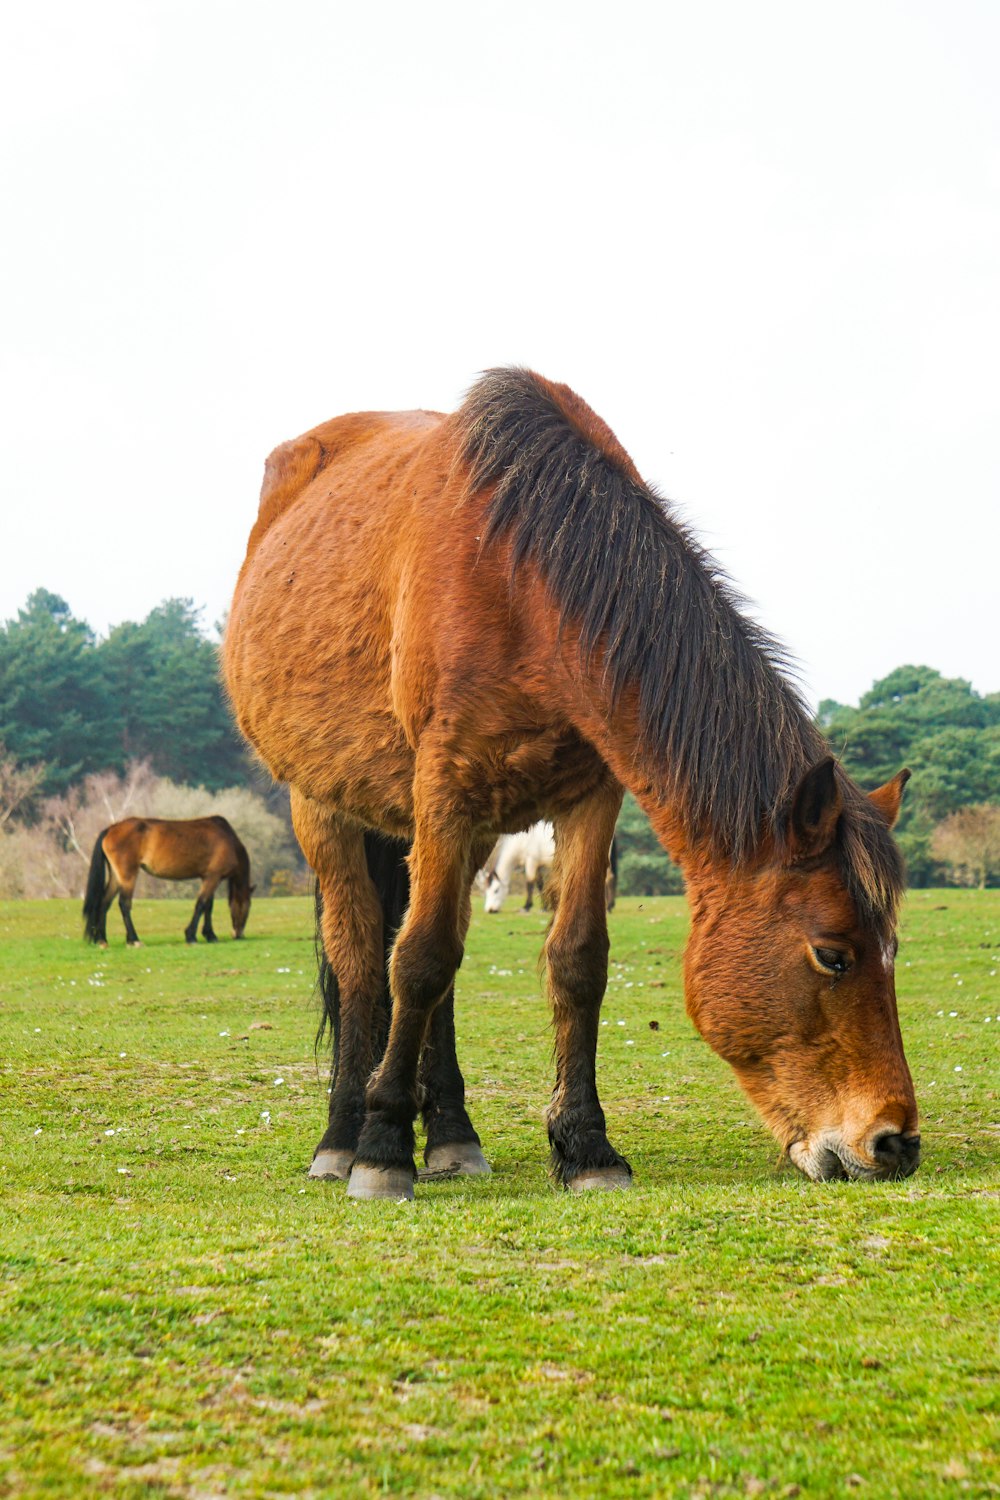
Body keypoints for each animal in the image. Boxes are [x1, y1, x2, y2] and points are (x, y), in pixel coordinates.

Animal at [83, 816, 254, 942]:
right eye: (248, 907)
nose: (238, 934)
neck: (228, 839)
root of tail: (110, 829)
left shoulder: (208, 877)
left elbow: (208, 906)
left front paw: (210, 935)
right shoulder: (213, 877)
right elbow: (201, 904)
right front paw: (191, 935)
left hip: (116, 877)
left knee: (104, 902)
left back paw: (102, 939)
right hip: (127, 876)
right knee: (124, 904)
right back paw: (133, 939)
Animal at [223, 369, 917, 1200]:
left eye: (894, 948)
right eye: (833, 955)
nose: (895, 1141)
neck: (519, 575)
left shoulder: (588, 800)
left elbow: (576, 960)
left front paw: (586, 1146)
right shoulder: (441, 792)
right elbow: (414, 962)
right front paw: (383, 1145)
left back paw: (451, 1133)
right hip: (323, 808)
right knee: (363, 959)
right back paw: (342, 1137)